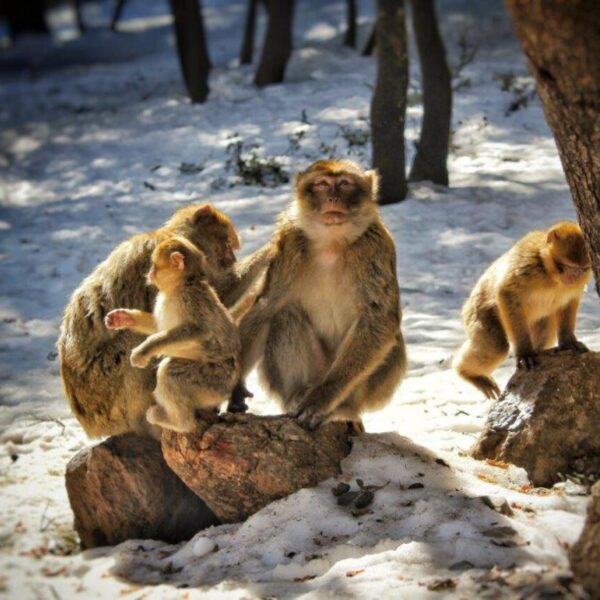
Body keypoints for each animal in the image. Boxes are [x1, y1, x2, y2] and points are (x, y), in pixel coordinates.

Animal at [105, 236, 239, 432]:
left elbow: (198, 330)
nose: (149, 274)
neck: (180, 286)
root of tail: (228, 390)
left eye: (154, 265)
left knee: (170, 373)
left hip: (213, 382)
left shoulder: (191, 299)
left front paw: (143, 350)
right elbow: (158, 327)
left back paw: (179, 423)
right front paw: (125, 318)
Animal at [234, 159, 408, 432]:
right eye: (322, 184)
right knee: (285, 313)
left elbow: (379, 319)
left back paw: (342, 408)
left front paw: (321, 399)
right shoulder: (289, 244)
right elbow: (267, 306)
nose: (333, 198)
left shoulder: (374, 247)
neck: (331, 242)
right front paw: (234, 386)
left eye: (345, 184)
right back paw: (298, 393)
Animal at [454, 220, 592, 398]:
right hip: (477, 313)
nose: (574, 276)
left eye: (582, 269)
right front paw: (525, 352)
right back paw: (468, 373)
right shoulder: (527, 265)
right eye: (567, 266)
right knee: (496, 347)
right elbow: (507, 293)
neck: (549, 273)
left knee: (545, 329)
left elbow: (569, 301)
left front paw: (568, 342)